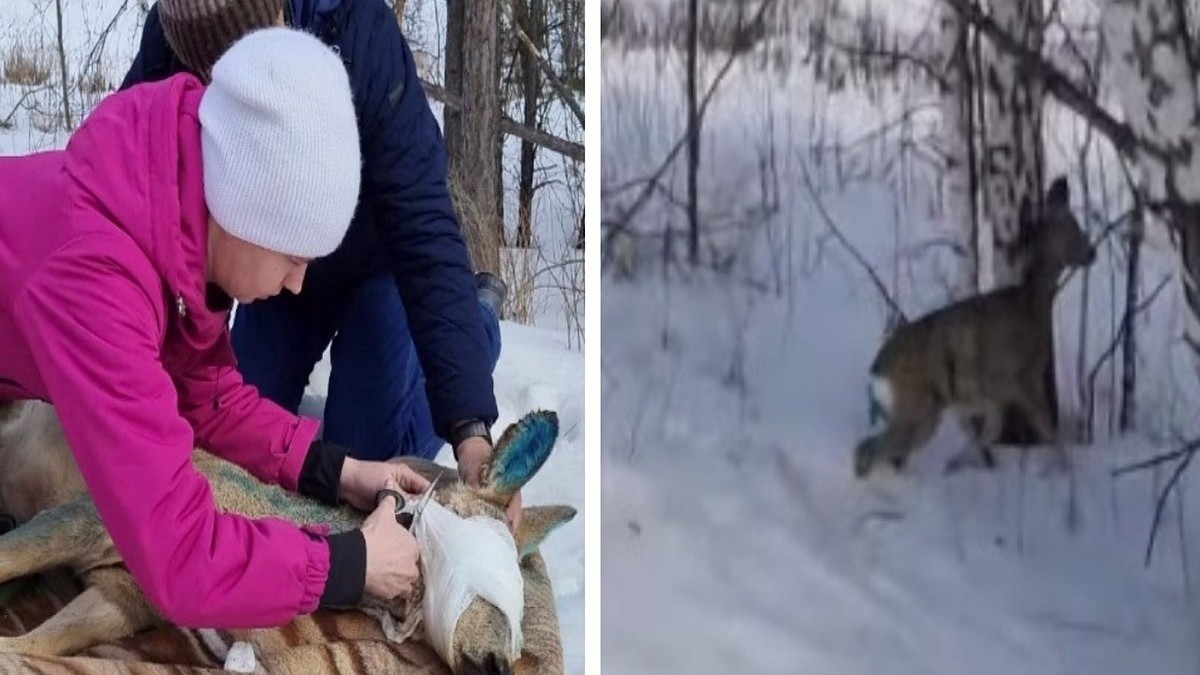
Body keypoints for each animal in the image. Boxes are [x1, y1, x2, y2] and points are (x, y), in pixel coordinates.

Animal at [854, 174, 1099, 478]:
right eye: (1074, 228)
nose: (1092, 252)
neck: (1031, 302)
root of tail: (877, 370)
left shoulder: (988, 395)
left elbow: (988, 431)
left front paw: (955, 463)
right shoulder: (1022, 380)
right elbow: (1047, 429)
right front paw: (1066, 470)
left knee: (883, 449)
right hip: (918, 407)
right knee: (869, 449)